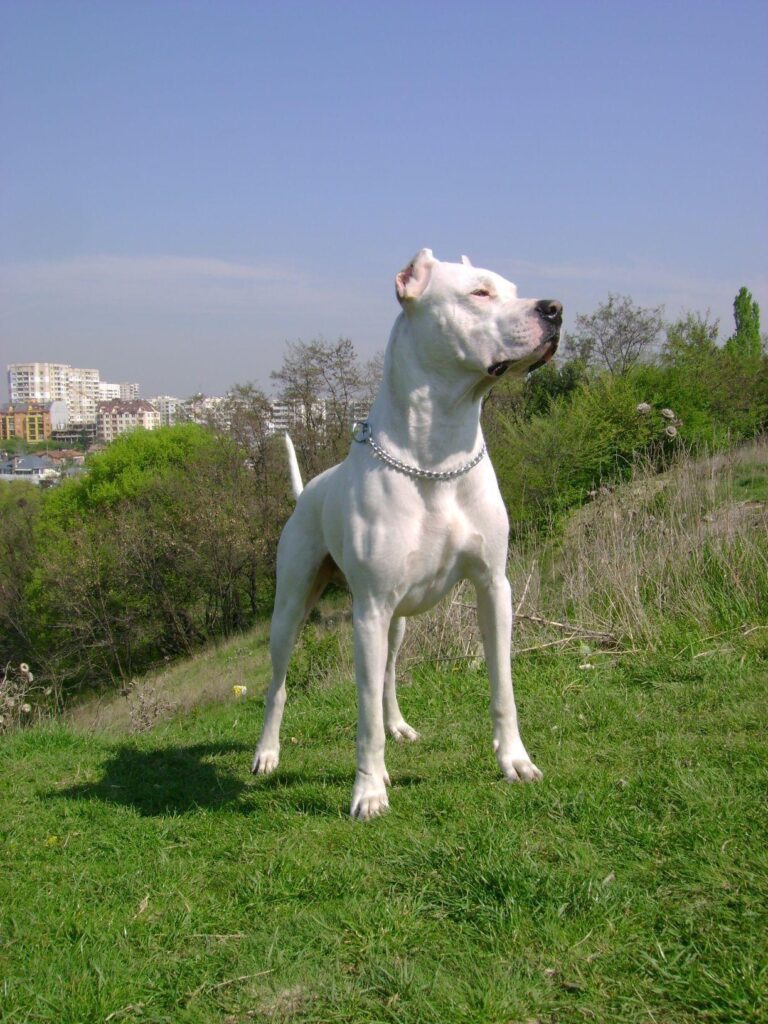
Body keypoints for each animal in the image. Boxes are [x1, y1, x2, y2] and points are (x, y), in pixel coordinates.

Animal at [249, 251, 561, 819]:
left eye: (513, 289)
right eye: (479, 293)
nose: (555, 309)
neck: (435, 454)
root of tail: (309, 492)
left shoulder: (494, 587)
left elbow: (502, 685)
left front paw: (515, 761)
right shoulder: (369, 610)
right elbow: (363, 717)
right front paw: (369, 791)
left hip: (396, 621)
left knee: (389, 676)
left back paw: (398, 724)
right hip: (293, 609)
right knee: (278, 685)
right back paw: (267, 753)